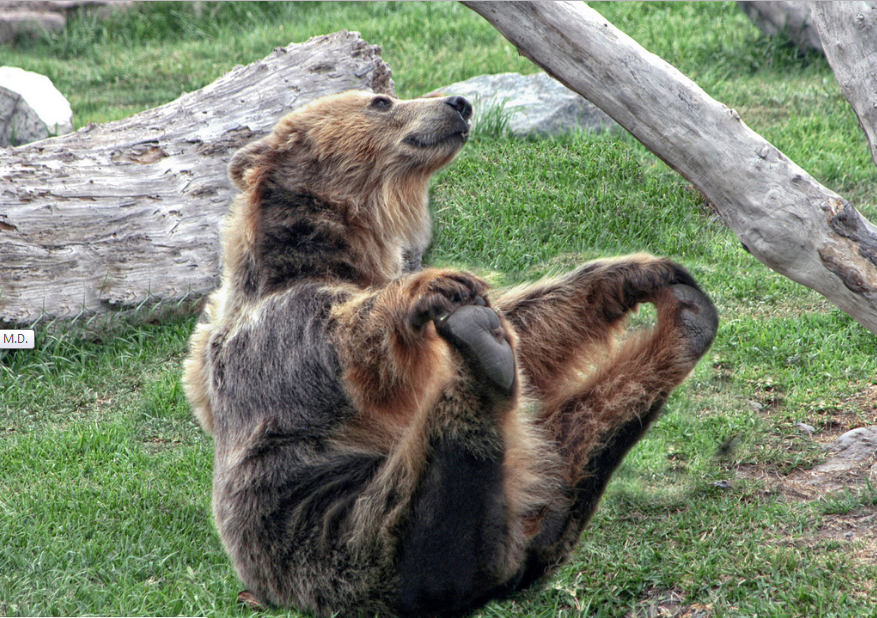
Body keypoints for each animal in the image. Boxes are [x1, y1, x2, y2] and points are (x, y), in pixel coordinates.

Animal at [182, 90, 718, 618]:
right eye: (381, 100)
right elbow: (355, 346)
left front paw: (634, 272)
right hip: (351, 534)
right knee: (445, 486)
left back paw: (686, 320)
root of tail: (506, 572)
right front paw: (432, 284)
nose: (459, 101)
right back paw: (483, 355)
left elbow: (529, 327)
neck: (333, 252)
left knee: (585, 432)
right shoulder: (282, 334)